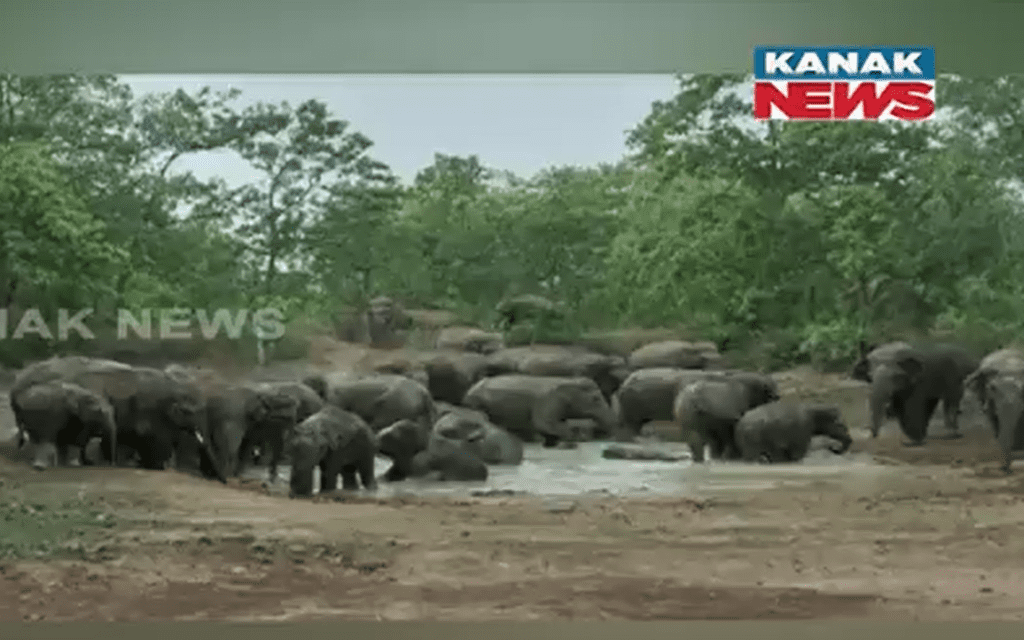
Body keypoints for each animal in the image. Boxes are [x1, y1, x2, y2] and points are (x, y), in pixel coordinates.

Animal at [462, 374, 614, 444]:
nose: (604, 436)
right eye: (596, 399)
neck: (568, 380)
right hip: (476, 401)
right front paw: (572, 438)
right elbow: (543, 424)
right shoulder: (547, 400)